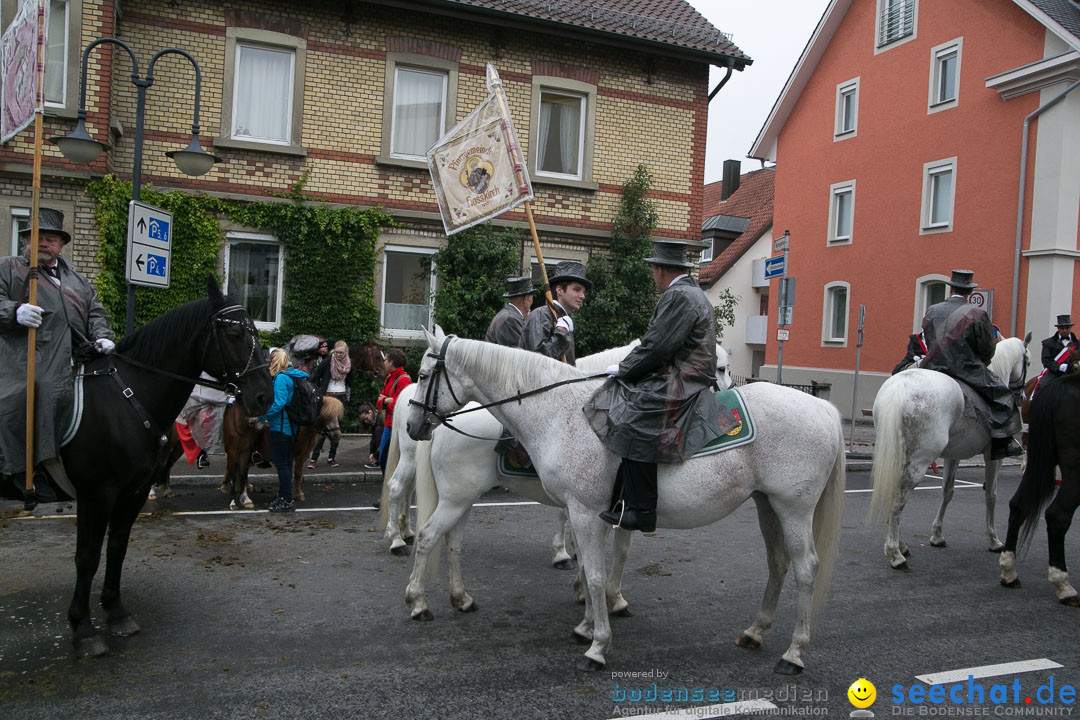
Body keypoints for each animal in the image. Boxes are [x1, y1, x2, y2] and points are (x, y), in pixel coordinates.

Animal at [393, 343, 738, 621]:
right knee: (416, 518)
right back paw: (413, 587)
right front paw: (597, 592)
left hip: (463, 497)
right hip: (452, 494)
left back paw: (458, 595)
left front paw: (593, 591)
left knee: (451, 540)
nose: (726, 399)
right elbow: (603, 548)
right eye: (720, 368)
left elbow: (610, 548)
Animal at [868, 334, 1028, 569]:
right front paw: (994, 540)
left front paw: (937, 535)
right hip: (918, 462)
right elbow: (991, 494)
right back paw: (895, 553)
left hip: (898, 455)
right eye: (1028, 360)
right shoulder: (993, 457)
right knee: (899, 499)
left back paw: (901, 545)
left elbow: (948, 491)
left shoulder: (953, 456)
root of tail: (900, 387)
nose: (1023, 397)